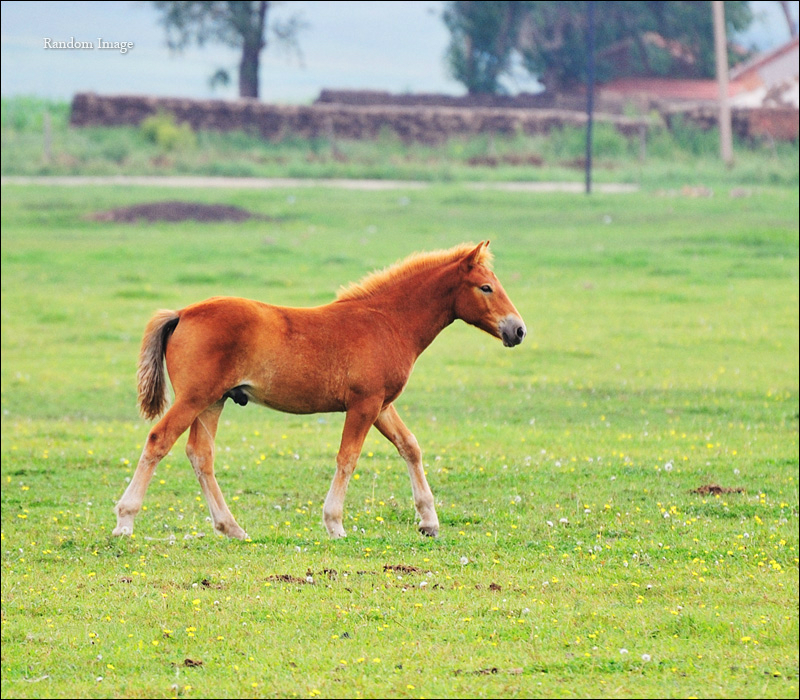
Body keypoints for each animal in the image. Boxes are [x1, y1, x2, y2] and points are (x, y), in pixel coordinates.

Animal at [112, 243, 524, 540]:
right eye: (486, 287)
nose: (517, 330)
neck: (387, 321)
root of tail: (182, 313)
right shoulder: (364, 404)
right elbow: (348, 458)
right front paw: (335, 524)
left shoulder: (382, 404)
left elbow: (410, 446)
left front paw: (429, 522)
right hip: (194, 398)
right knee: (159, 439)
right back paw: (125, 521)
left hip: (213, 402)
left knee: (201, 456)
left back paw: (232, 528)